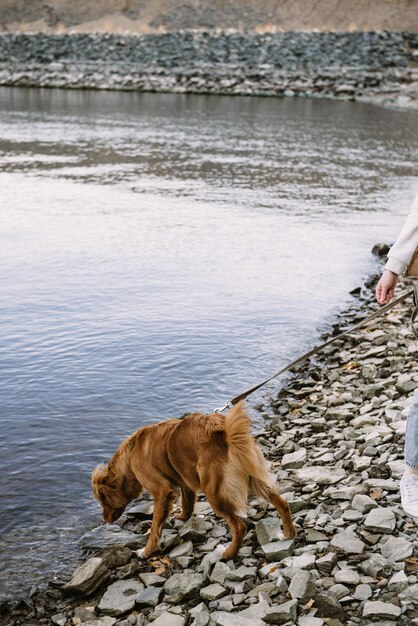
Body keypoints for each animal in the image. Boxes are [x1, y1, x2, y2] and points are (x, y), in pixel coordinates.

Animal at [92, 400, 294, 556]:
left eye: (103, 502)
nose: (105, 521)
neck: (132, 452)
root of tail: (223, 431)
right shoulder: (185, 482)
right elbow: (187, 504)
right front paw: (182, 517)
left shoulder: (162, 492)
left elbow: (155, 526)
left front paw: (147, 551)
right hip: (255, 479)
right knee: (283, 504)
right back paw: (288, 534)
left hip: (214, 493)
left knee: (239, 526)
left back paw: (228, 553)